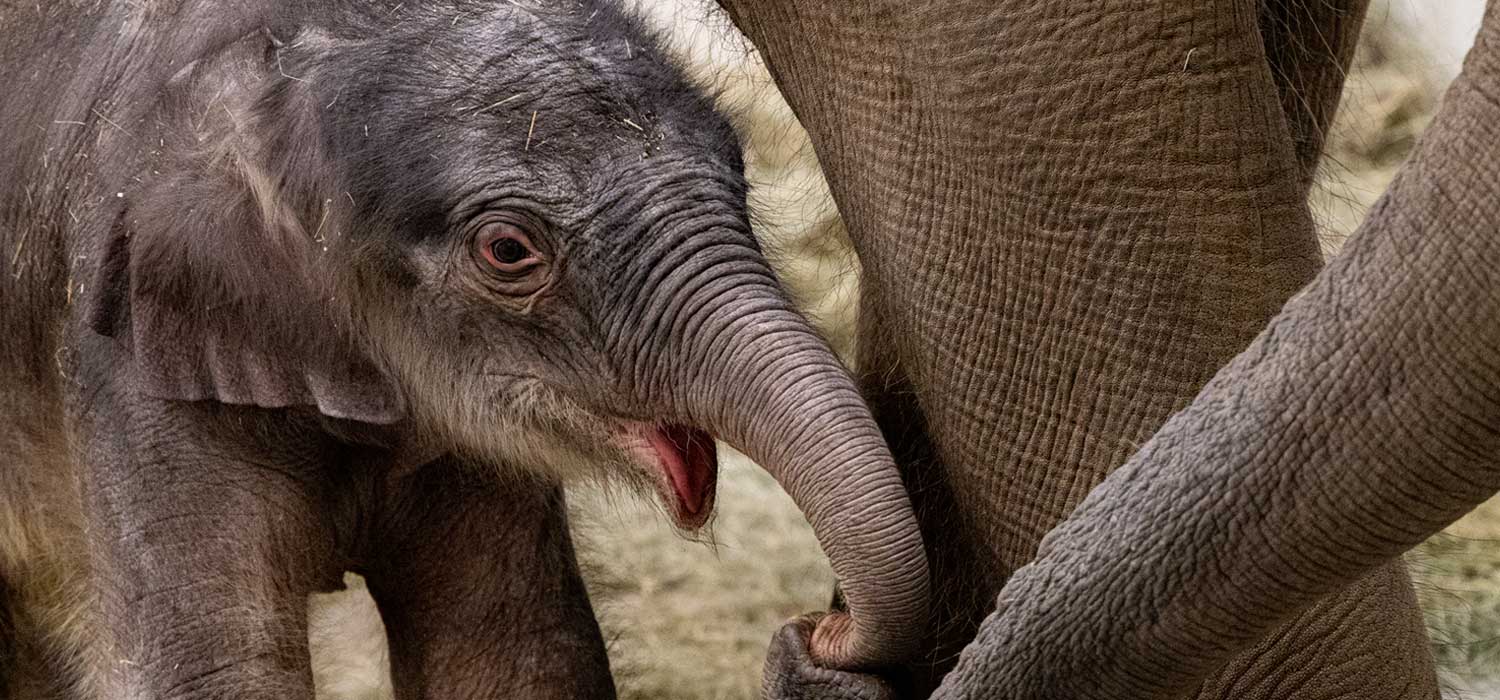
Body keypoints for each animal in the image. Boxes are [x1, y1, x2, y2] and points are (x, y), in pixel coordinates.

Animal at [0, 2, 924, 698]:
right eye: (508, 250)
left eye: (738, 168)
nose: (821, 626)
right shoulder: (128, 367)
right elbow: (215, 673)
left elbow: (516, 656)